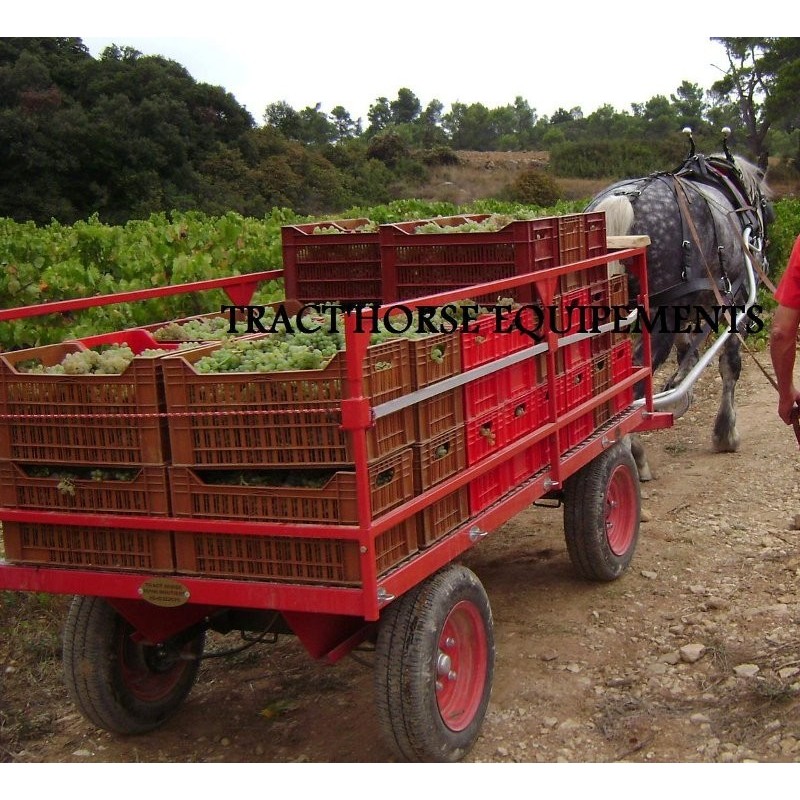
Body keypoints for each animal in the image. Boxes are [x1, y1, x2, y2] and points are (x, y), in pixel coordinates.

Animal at [584, 143, 772, 478]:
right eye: (764, 201)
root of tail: (622, 201)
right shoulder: (736, 299)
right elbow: (730, 364)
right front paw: (726, 433)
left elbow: (688, 354)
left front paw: (680, 394)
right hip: (662, 314)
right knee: (635, 377)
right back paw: (634, 453)